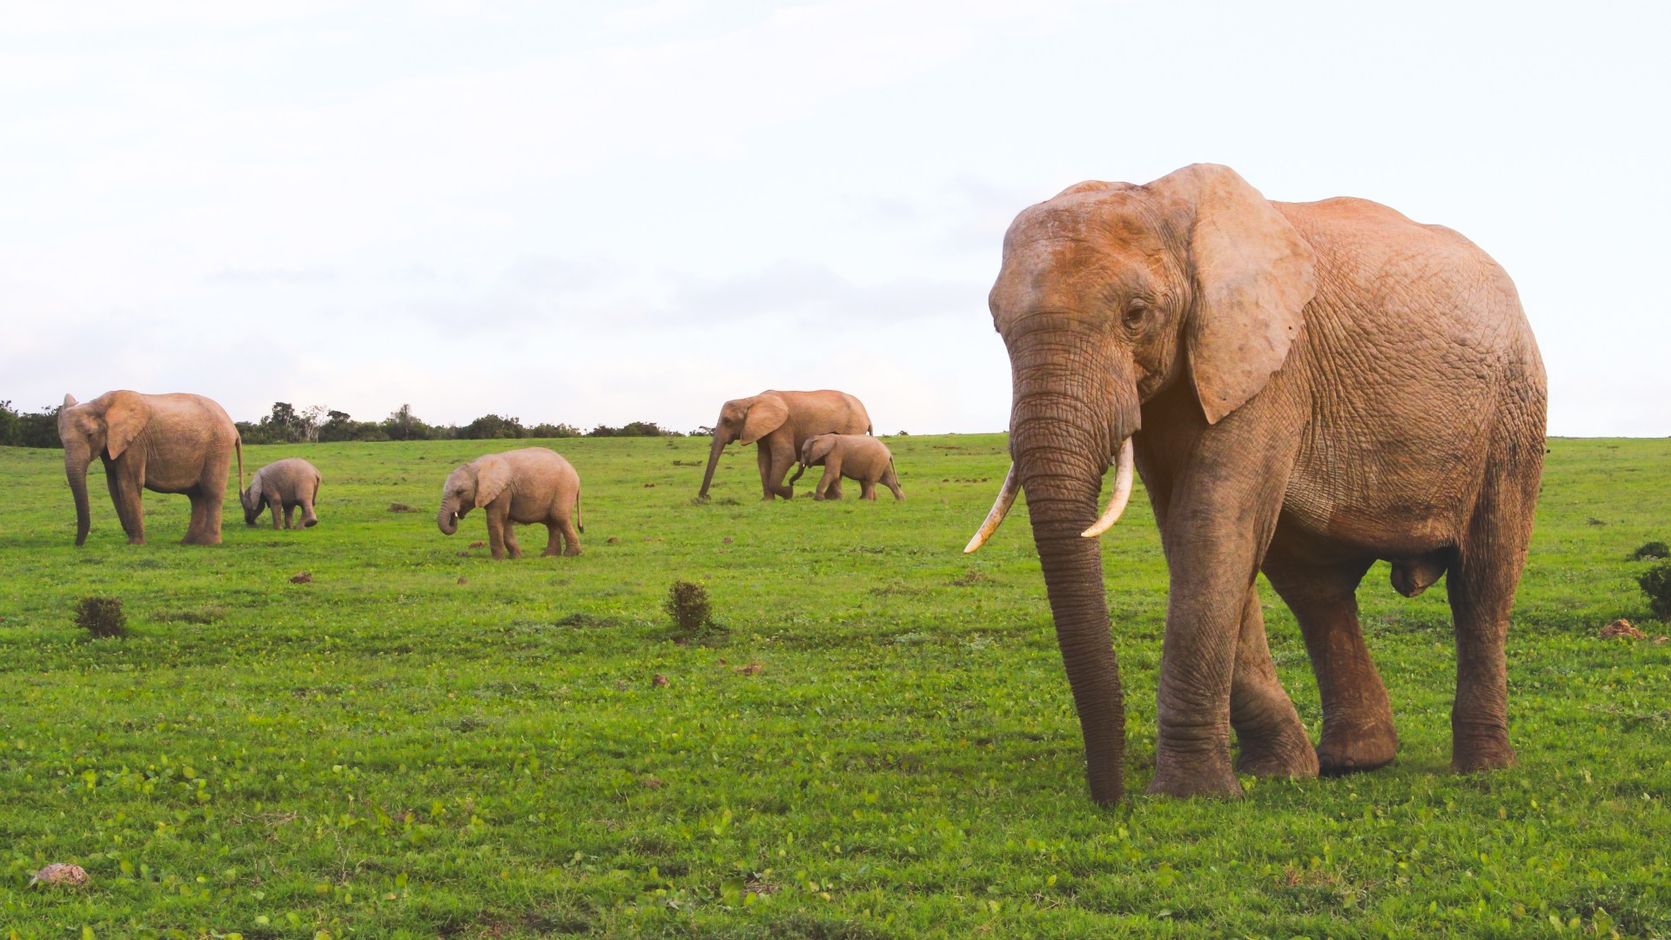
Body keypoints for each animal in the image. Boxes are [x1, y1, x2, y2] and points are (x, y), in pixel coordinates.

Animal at [58, 391, 244, 546]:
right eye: (61, 439)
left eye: (90, 435)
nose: (77, 545)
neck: (99, 404)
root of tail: (233, 427)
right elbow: (114, 487)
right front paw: (132, 539)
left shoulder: (135, 443)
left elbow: (128, 483)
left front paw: (135, 544)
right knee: (196, 496)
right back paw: (188, 542)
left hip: (218, 447)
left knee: (211, 491)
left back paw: (208, 543)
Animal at [438, 447, 583, 560]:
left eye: (460, 492)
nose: (456, 515)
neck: (477, 466)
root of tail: (575, 473)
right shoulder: (504, 492)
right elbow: (505, 521)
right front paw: (516, 557)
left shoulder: (503, 490)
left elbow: (495, 519)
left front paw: (497, 559)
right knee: (552, 522)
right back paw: (549, 556)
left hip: (565, 488)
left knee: (559, 517)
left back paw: (570, 555)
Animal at [696, 390, 872, 501]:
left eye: (728, 421)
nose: (704, 498)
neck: (750, 399)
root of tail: (866, 414)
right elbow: (763, 460)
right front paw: (767, 500)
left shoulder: (783, 426)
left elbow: (785, 456)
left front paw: (788, 492)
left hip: (853, 428)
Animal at [965, 164, 1546, 804]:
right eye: (996, 325)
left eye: (1136, 315)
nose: (1109, 799)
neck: (1169, 206)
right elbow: (1195, 535)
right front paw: (1275, 774)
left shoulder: (1273, 365)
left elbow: (1212, 524)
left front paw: (1189, 796)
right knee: (1316, 591)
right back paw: (1351, 761)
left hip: (1513, 408)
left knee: (1483, 582)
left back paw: (1483, 769)